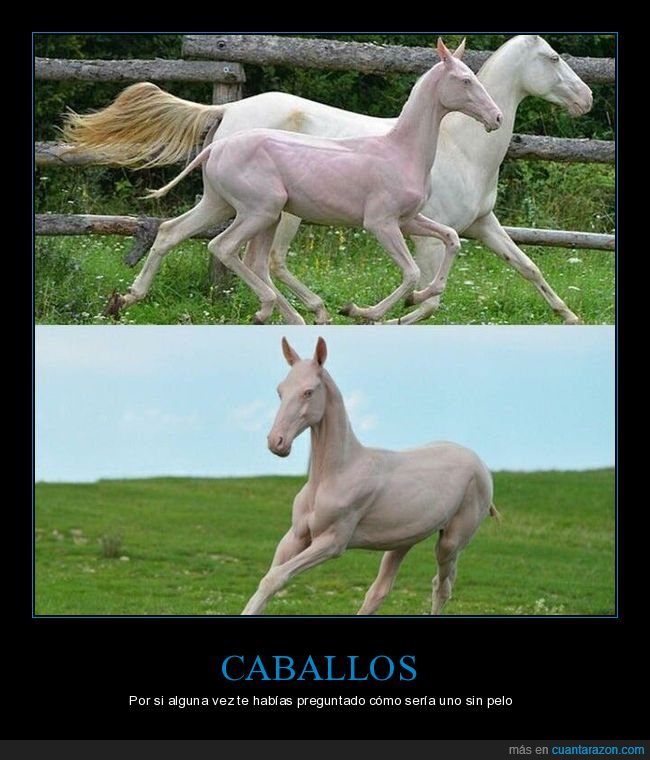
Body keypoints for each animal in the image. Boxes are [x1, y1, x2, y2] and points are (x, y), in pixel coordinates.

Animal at [63, 35, 592, 325]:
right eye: (553, 58)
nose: (586, 98)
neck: (459, 146)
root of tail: (229, 111)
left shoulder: (479, 224)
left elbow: (527, 266)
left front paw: (569, 315)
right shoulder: (412, 230)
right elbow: (429, 290)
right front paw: (392, 314)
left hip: (230, 205)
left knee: (179, 234)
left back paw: (127, 299)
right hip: (271, 212)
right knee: (259, 259)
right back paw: (306, 309)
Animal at [242, 336, 499, 615]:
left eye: (308, 392)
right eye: (280, 390)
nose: (276, 442)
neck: (333, 475)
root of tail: (480, 464)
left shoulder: (332, 541)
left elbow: (276, 577)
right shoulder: (296, 536)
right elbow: (268, 578)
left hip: (451, 542)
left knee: (442, 586)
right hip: (404, 540)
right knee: (380, 591)